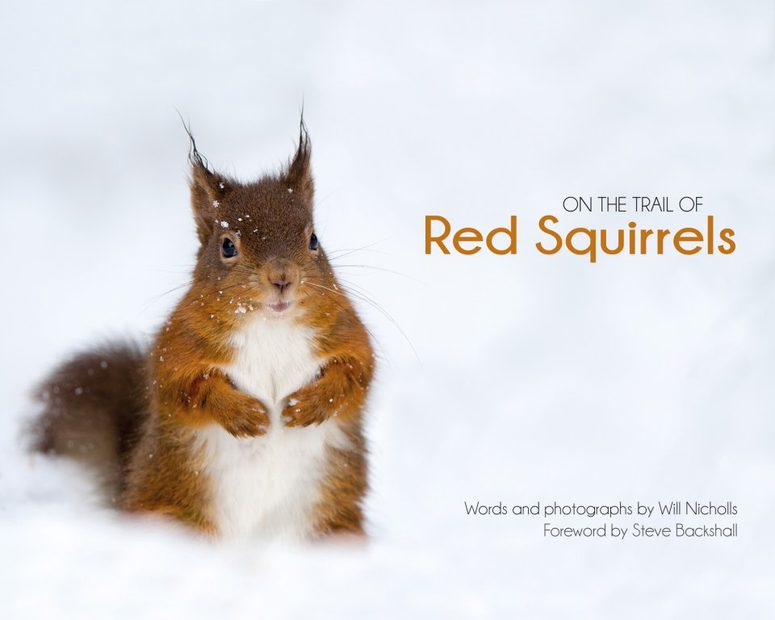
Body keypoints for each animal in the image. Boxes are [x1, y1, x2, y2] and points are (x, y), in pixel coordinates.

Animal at [30, 121, 375, 540]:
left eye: (313, 240)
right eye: (227, 246)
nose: (282, 278)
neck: (271, 326)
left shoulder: (345, 332)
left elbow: (357, 372)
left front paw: (307, 405)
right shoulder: (177, 345)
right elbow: (186, 386)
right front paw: (245, 415)